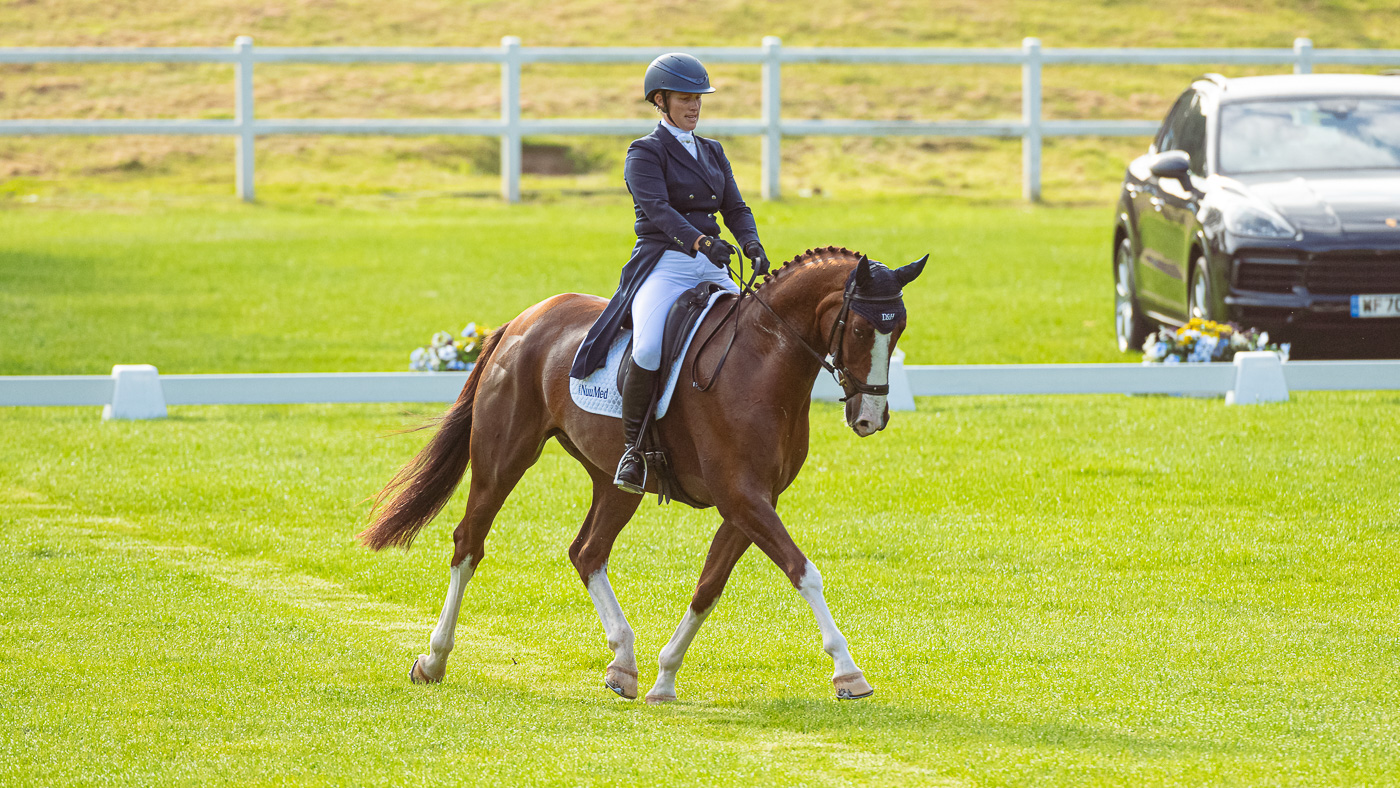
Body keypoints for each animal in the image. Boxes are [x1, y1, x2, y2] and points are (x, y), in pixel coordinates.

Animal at [360, 246, 927, 702]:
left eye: (898, 328)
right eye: (861, 328)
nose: (871, 418)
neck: (763, 360)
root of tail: (523, 321)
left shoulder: (750, 503)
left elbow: (708, 587)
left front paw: (664, 679)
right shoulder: (742, 497)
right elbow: (804, 572)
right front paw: (849, 673)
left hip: (615, 479)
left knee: (587, 552)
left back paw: (623, 665)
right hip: (503, 459)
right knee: (469, 543)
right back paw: (434, 660)